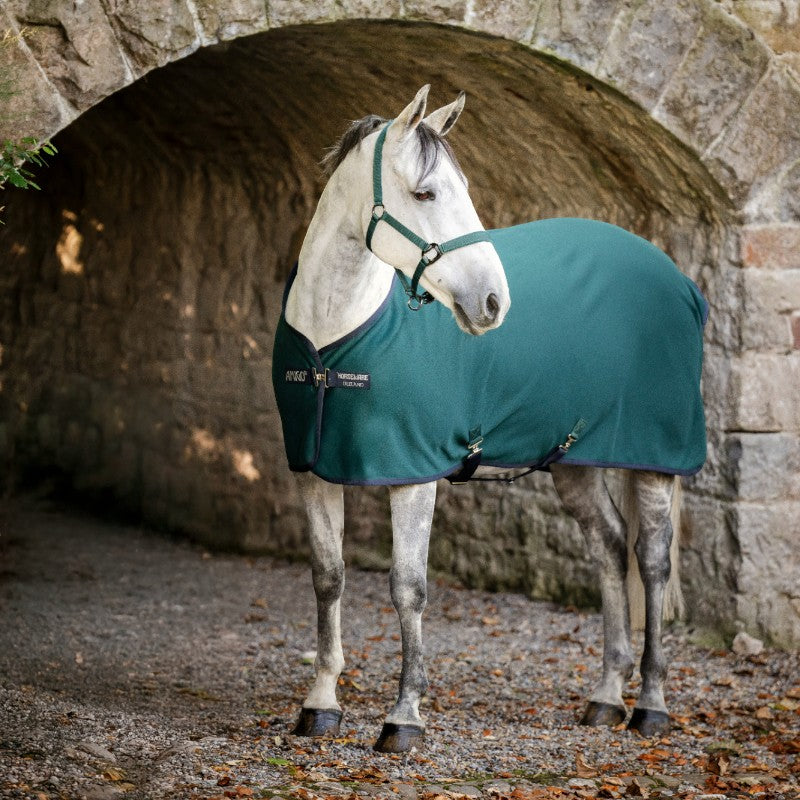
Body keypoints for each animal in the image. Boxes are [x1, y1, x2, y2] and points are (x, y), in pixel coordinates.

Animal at [272, 86, 707, 753]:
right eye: (426, 193)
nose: (493, 303)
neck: (335, 338)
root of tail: (680, 281)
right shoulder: (313, 471)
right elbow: (328, 578)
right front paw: (320, 704)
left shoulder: (412, 475)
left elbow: (408, 588)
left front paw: (404, 716)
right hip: (574, 461)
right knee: (609, 548)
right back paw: (606, 696)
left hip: (654, 461)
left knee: (651, 561)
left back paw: (651, 705)